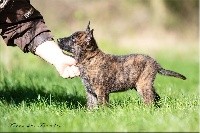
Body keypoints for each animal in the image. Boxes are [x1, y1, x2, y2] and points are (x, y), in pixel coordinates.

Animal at [57, 22, 187, 109]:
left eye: (73, 38)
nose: (58, 39)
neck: (90, 59)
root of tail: (155, 63)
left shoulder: (101, 91)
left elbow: (102, 106)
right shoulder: (90, 92)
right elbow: (91, 106)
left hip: (143, 85)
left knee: (149, 100)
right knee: (156, 97)